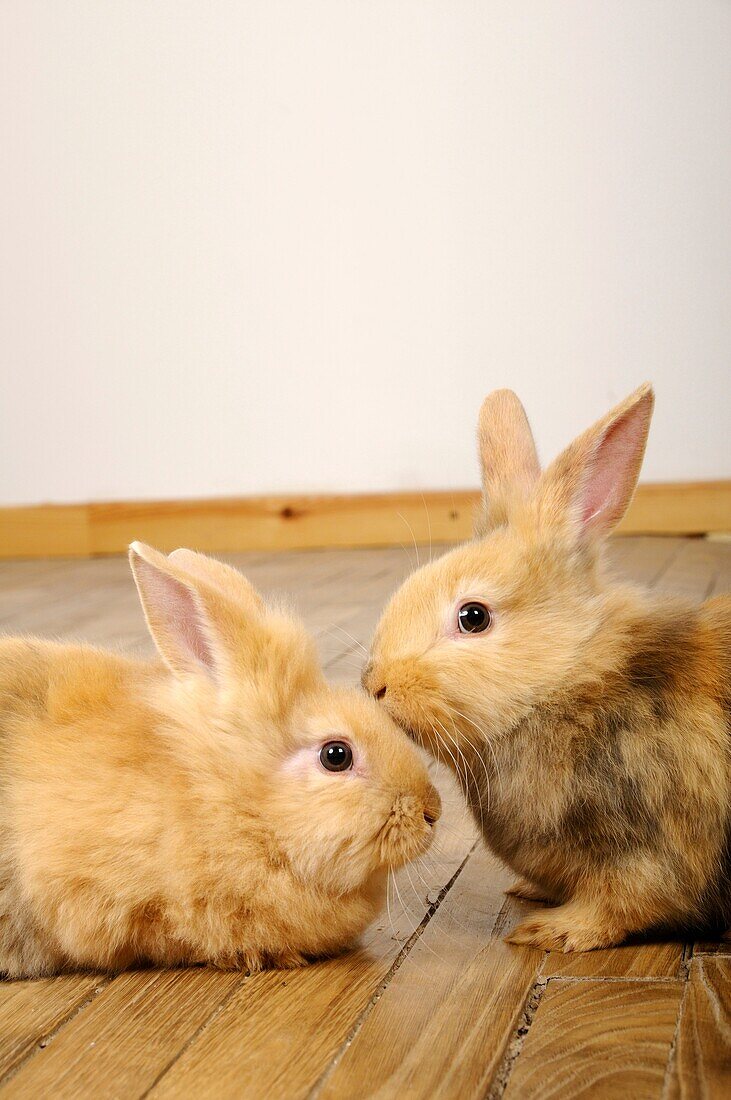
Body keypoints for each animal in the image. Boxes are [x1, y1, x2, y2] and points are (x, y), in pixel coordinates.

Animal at [364, 389, 729, 954]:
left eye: (473, 617)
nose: (375, 683)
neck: (572, 680)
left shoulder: (648, 852)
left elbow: (621, 904)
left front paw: (548, 931)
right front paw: (531, 893)